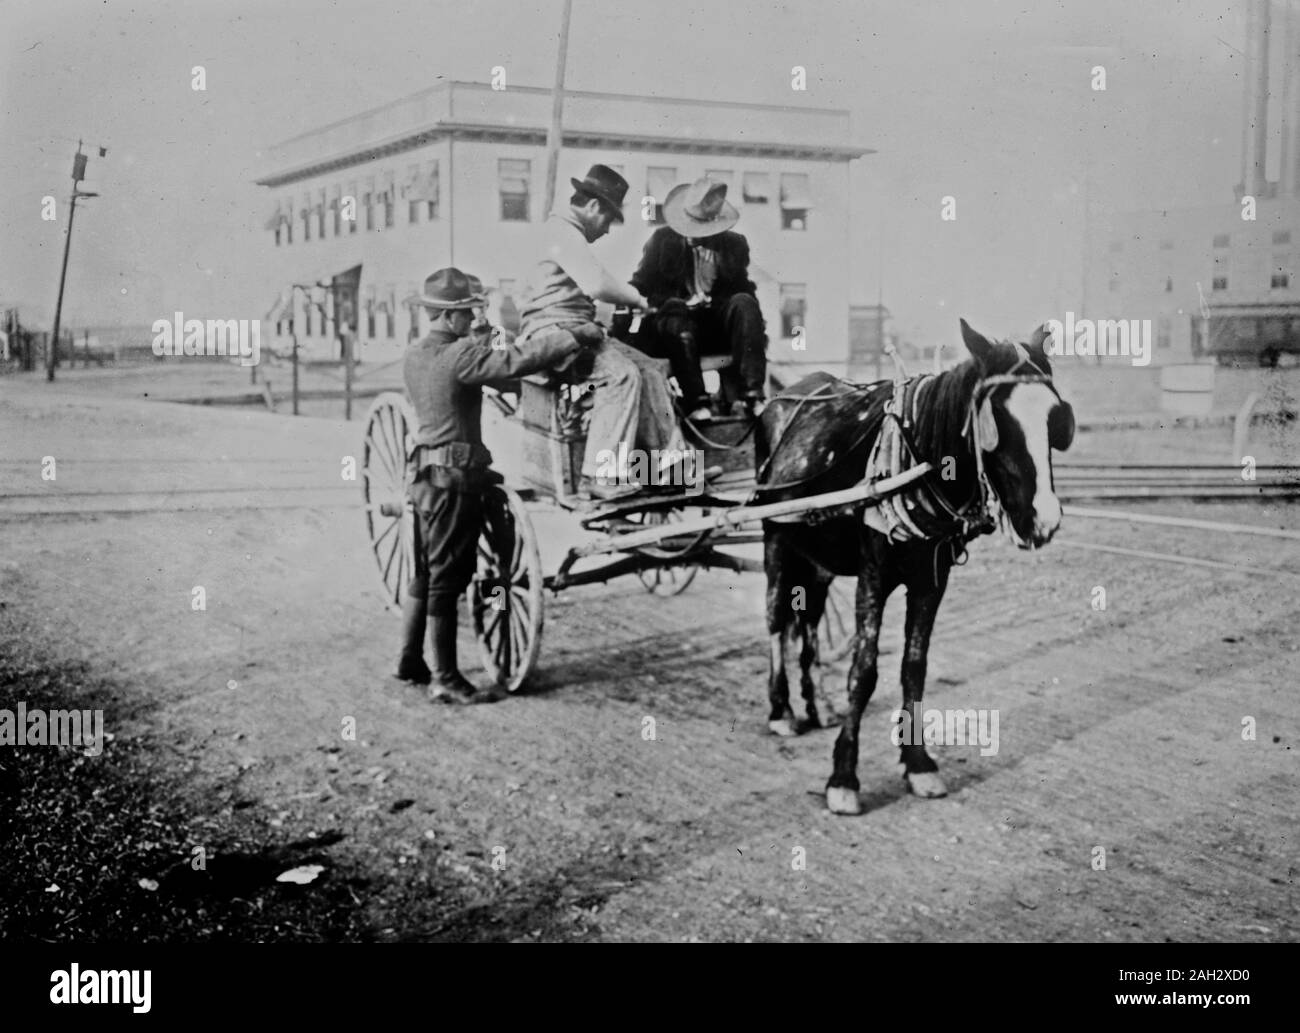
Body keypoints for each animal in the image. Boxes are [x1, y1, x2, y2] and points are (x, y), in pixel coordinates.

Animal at [759, 317, 1071, 816]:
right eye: (996, 420)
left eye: (1055, 419)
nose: (1044, 519)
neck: (914, 464)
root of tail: (784, 397)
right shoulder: (871, 577)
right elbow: (864, 671)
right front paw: (843, 776)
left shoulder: (931, 582)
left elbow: (914, 667)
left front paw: (918, 762)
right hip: (776, 537)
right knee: (774, 619)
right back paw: (781, 709)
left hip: (817, 554)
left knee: (806, 620)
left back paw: (818, 703)